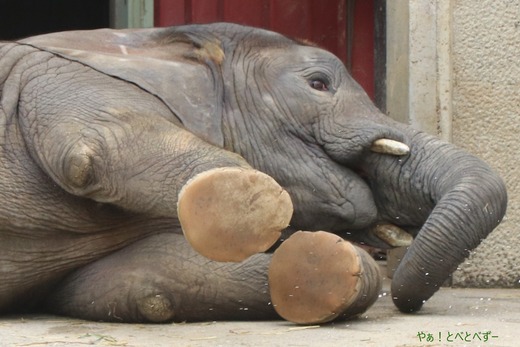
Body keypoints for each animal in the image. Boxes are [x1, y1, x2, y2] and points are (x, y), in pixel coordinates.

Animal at [0, 23, 508, 324]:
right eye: (318, 84)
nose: (405, 302)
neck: (157, 42)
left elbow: (139, 282)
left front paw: (318, 265)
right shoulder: (62, 83)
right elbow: (95, 152)